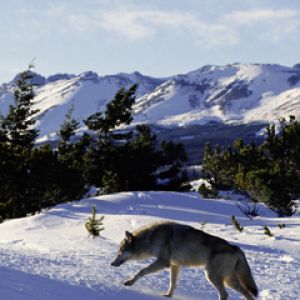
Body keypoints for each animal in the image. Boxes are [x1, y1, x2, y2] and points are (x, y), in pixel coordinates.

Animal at [110, 220, 258, 300]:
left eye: (120, 252)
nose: (111, 263)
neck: (152, 238)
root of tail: (235, 248)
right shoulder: (175, 265)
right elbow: (172, 283)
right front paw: (168, 296)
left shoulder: (164, 262)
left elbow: (141, 271)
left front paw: (129, 282)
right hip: (228, 280)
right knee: (247, 293)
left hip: (212, 276)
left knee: (226, 295)